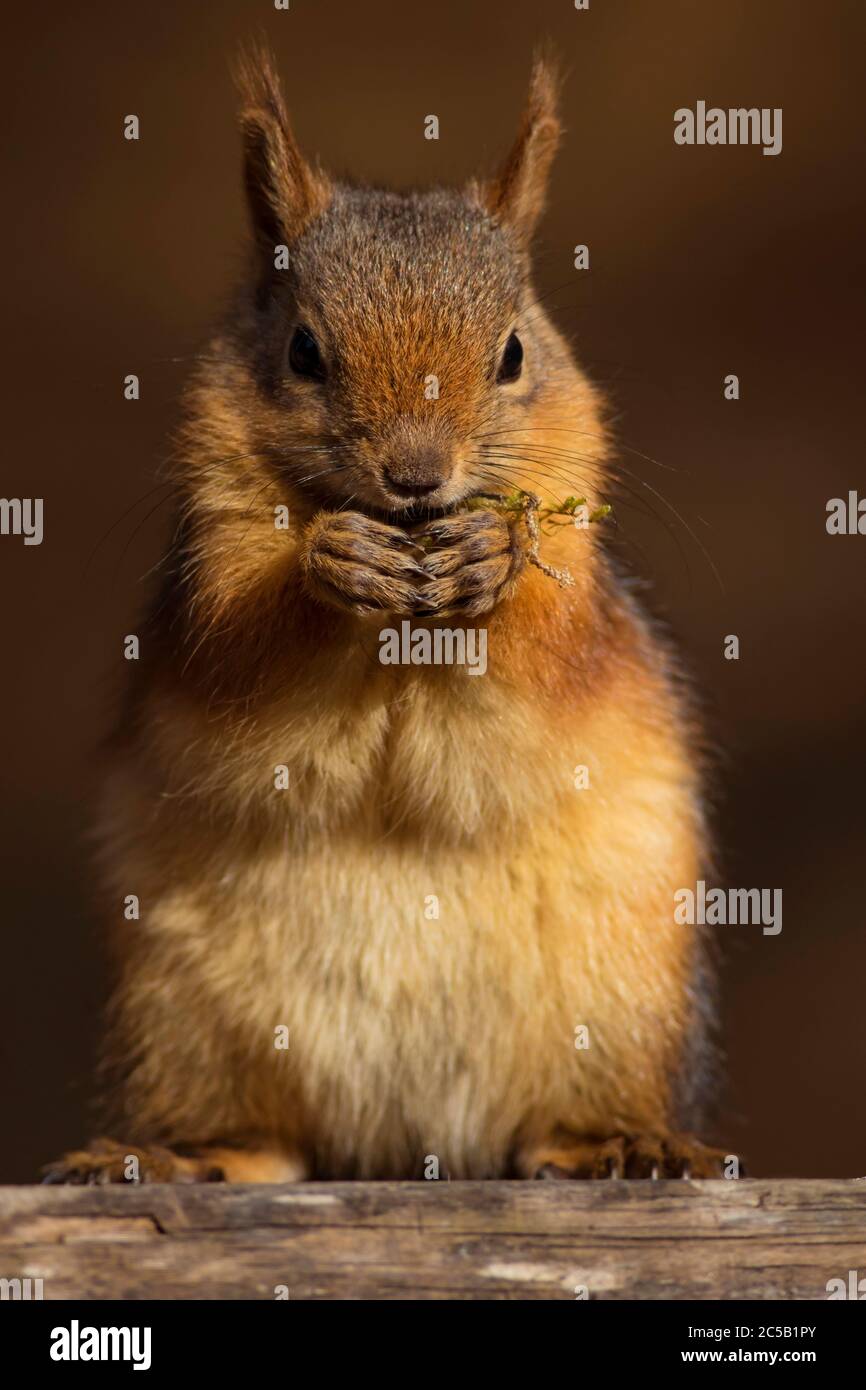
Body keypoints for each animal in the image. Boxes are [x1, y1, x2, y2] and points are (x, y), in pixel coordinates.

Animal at [44, 51, 733, 1184]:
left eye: (512, 353)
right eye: (301, 350)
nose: (416, 478)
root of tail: (406, 1140)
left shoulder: (586, 600)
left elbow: (547, 647)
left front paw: (493, 557)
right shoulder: (204, 581)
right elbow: (243, 649)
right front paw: (332, 565)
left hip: (617, 1003)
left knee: (560, 1117)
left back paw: (616, 1143)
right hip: (182, 1016)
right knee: (257, 1135)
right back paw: (181, 1157)